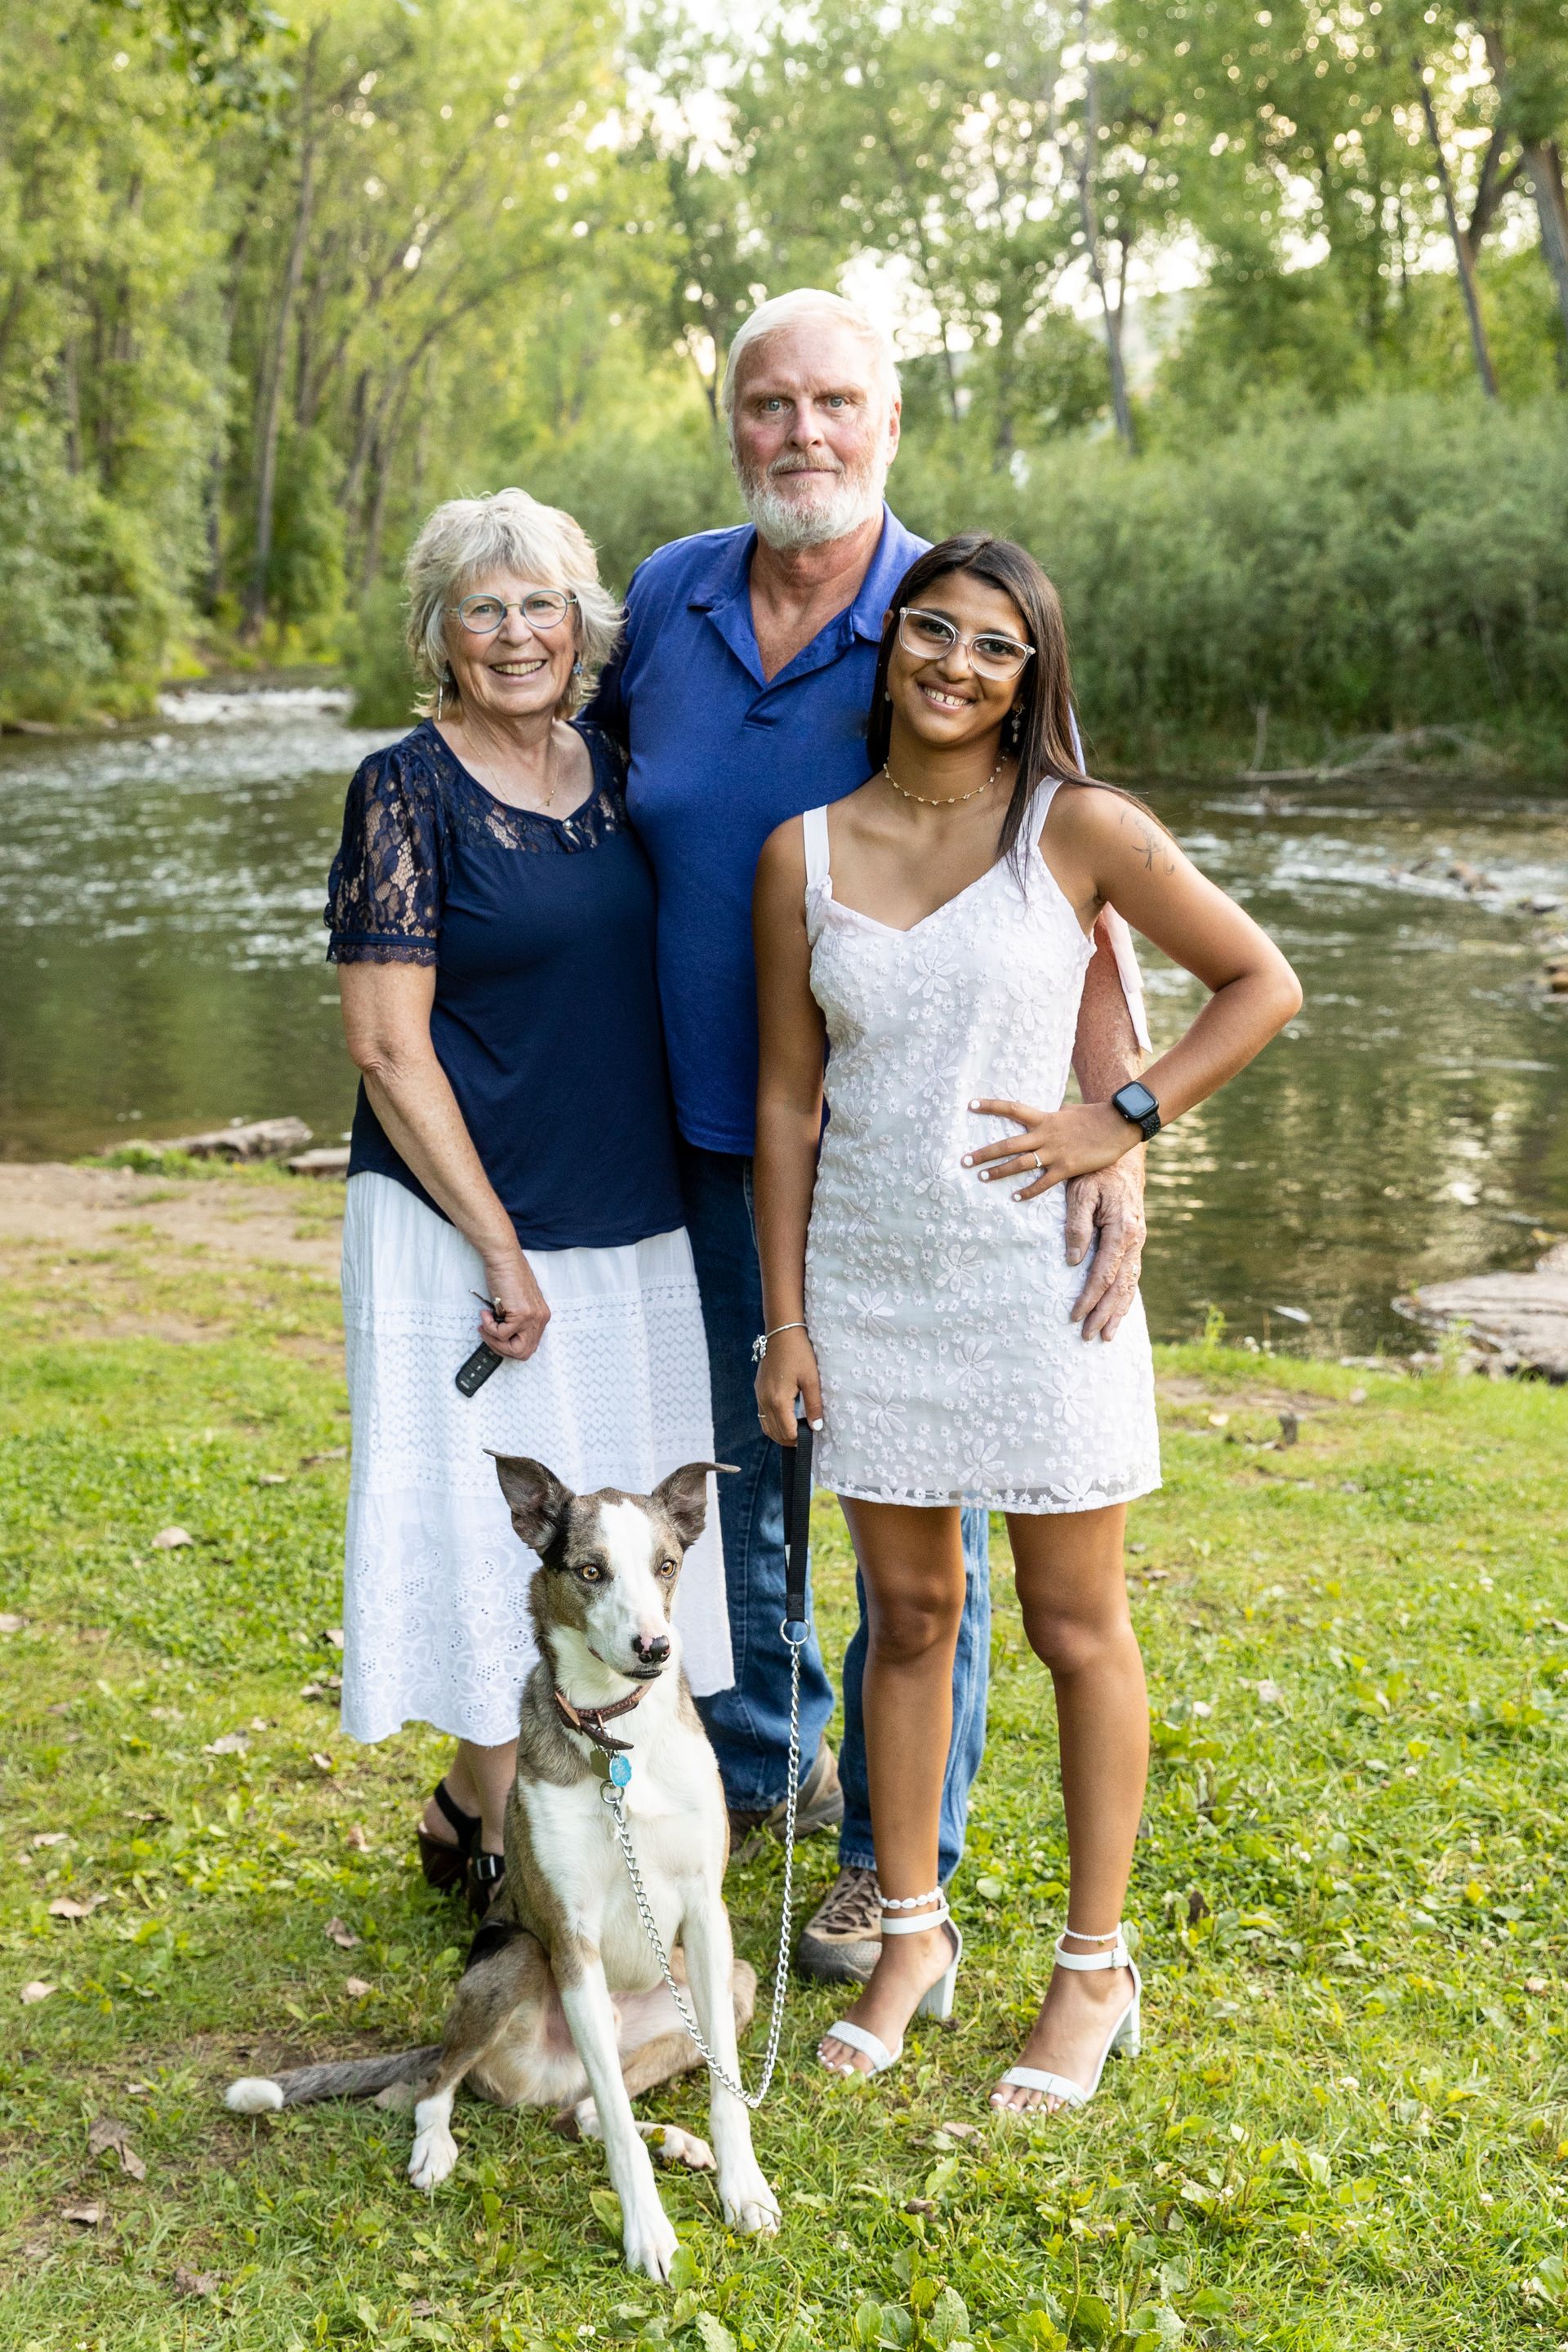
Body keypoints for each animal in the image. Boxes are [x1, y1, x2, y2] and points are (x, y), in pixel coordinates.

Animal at [227, 1455, 780, 2279]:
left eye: (667, 1566)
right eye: (590, 1571)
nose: (655, 1648)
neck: (617, 1742)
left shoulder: (707, 1919)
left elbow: (726, 2085)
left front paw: (744, 2187)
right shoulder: (569, 1936)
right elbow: (617, 2129)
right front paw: (647, 2232)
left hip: (724, 1985)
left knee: (582, 2111)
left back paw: (680, 2144)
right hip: (517, 1960)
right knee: (444, 2087)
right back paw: (435, 2150)